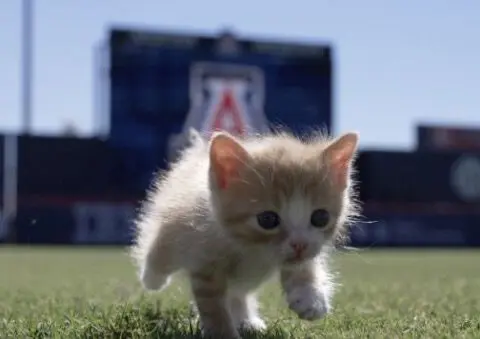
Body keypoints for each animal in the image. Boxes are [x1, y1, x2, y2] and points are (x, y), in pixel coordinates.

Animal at [130, 129, 360, 338]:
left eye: (320, 217)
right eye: (267, 220)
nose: (299, 244)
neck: (251, 249)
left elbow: (302, 265)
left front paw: (311, 298)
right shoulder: (204, 262)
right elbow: (214, 308)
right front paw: (223, 334)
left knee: (237, 292)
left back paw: (247, 321)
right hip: (174, 226)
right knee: (161, 248)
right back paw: (151, 277)